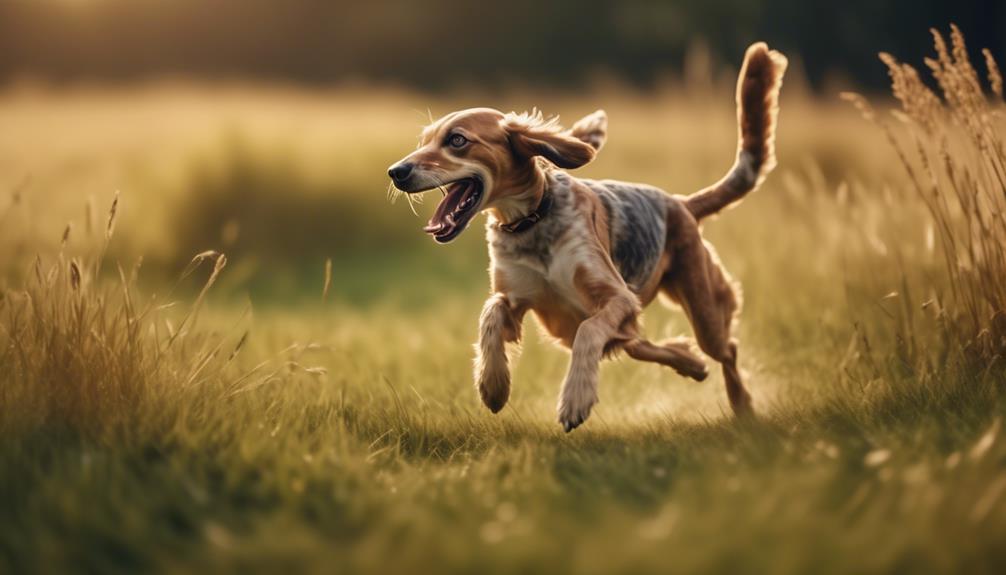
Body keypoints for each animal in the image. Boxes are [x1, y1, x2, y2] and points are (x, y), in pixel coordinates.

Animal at [384, 42, 784, 430]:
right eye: (423, 141)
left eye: (456, 140)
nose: (396, 172)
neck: (530, 222)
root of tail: (681, 203)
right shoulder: (515, 297)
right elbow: (490, 314)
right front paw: (493, 384)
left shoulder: (616, 297)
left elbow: (590, 332)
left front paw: (575, 399)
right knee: (639, 343)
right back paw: (690, 362)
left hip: (703, 311)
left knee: (726, 350)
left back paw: (741, 404)